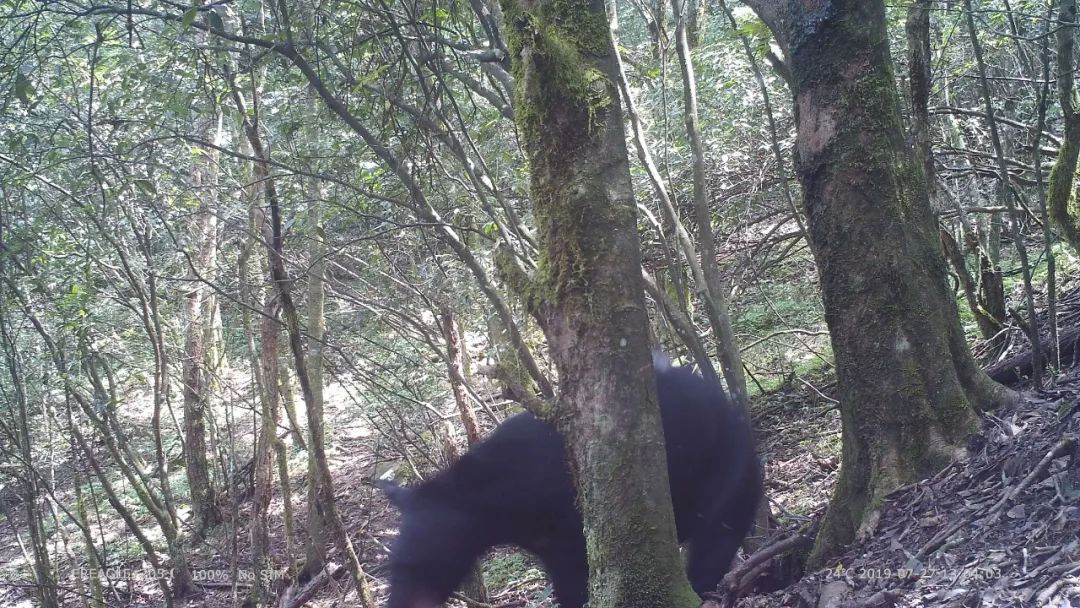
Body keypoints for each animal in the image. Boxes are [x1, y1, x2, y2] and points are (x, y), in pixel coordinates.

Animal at [378, 356, 760, 608]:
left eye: (419, 563)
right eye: (391, 566)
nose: (399, 603)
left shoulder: (575, 532)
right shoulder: (550, 546)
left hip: (729, 472)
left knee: (717, 539)